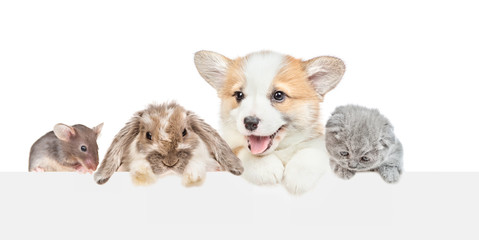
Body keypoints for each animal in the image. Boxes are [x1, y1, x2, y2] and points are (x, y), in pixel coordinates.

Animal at [194, 51, 344, 195]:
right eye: (239, 95)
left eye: (278, 95)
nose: (250, 122)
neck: (279, 150)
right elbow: (242, 151)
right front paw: (264, 167)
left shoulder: (320, 143)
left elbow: (312, 150)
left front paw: (299, 175)